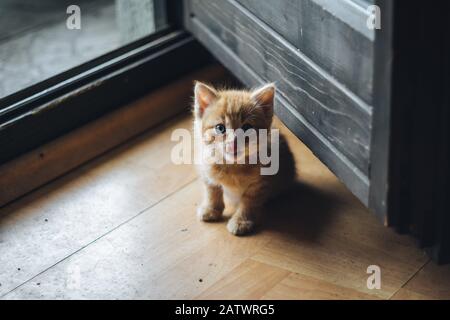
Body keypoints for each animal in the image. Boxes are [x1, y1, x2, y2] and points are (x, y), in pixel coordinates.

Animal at [192, 81, 296, 235]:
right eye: (220, 128)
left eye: (247, 128)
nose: (233, 142)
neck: (233, 166)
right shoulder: (206, 169)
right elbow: (212, 189)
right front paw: (211, 209)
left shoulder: (259, 184)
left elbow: (249, 202)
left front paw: (241, 221)